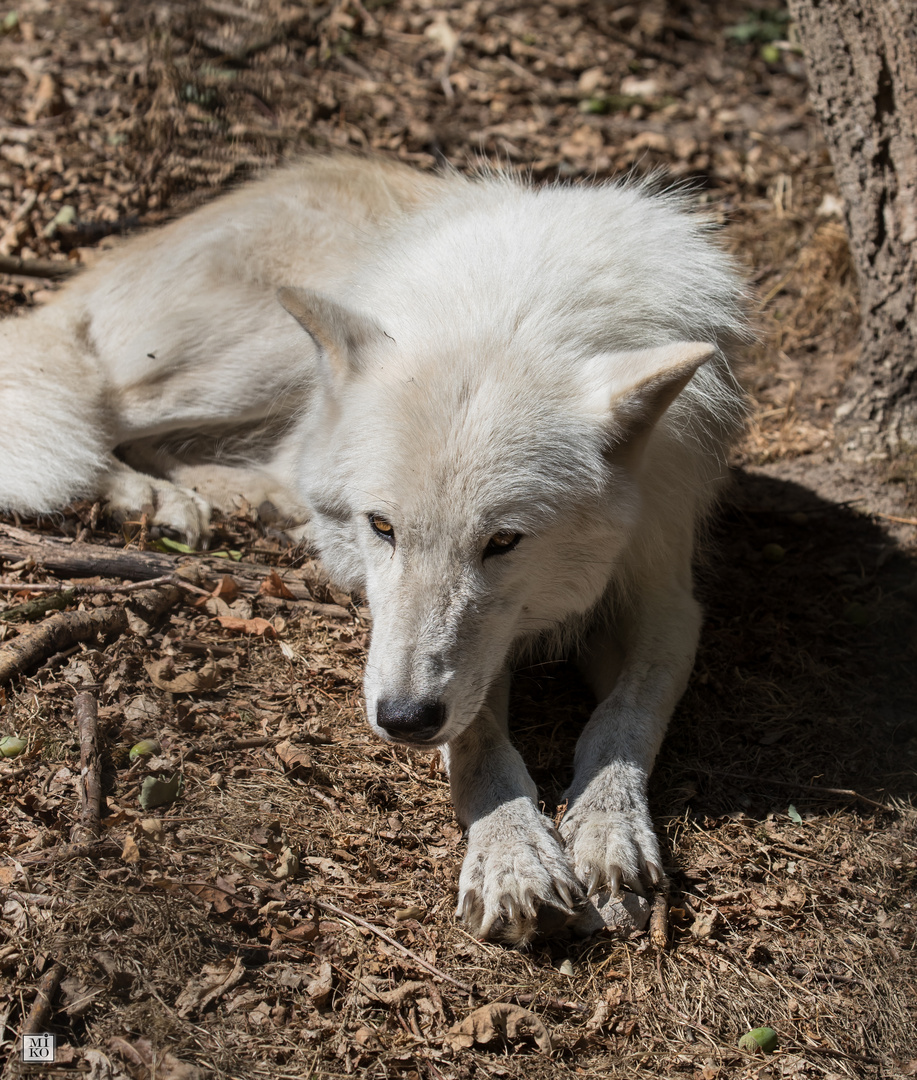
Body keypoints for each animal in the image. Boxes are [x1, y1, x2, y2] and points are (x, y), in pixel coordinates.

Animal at [0, 154, 743, 946]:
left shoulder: (665, 597)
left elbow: (624, 720)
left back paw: (259, 503)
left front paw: (609, 836)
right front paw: (513, 859)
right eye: (383, 527)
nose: (405, 719)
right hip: (250, 363)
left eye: (503, 541)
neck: (521, 308)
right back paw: (160, 498)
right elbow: (481, 744)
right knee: (96, 414)